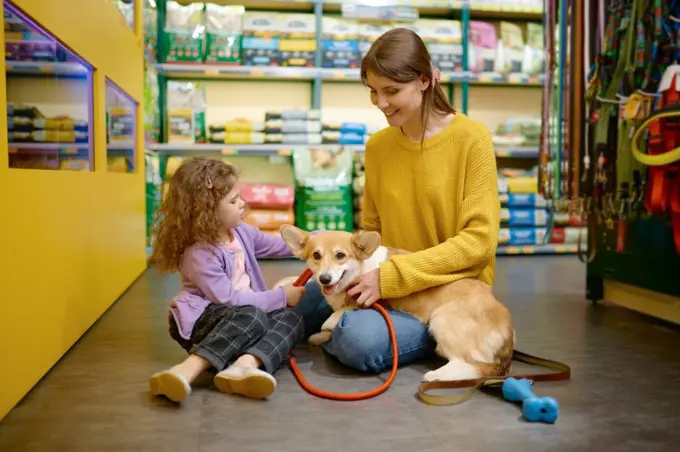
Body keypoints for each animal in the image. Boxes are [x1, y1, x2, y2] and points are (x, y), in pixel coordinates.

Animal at [280, 225, 516, 382]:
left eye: (340, 255)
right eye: (316, 255)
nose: (325, 279)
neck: (358, 270)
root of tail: (508, 331)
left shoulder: (372, 299)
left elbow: (345, 310)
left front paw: (330, 322)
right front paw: (320, 336)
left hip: (442, 319)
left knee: (466, 362)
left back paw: (436, 375)